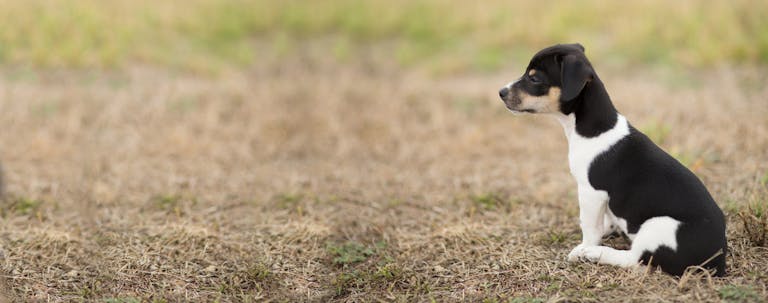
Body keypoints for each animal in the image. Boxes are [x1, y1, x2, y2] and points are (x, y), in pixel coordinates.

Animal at [498, 43, 728, 278]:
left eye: (534, 78)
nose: (501, 92)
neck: (592, 129)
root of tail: (717, 262)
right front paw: (608, 228)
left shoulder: (591, 192)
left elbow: (589, 227)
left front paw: (585, 247)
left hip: (658, 227)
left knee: (635, 260)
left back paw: (595, 253)